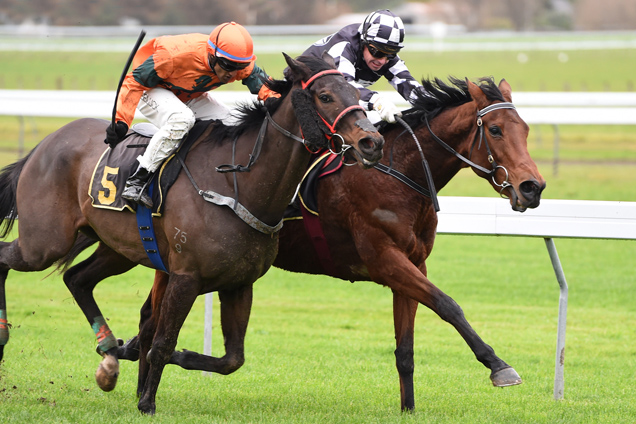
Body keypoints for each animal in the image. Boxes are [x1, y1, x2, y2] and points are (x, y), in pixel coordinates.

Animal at [0, 53, 382, 414]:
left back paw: (108, 354)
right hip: (45, 242)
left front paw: (175, 359)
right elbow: (162, 343)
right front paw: (147, 402)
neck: (237, 183)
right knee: (7, 257)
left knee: (77, 278)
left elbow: (232, 359)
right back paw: (6, 335)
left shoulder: (239, 283)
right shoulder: (186, 277)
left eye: (359, 95)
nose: (372, 142)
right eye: (325, 96)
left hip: (114, 247)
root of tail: (45, 144)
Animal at [140, 75, 548, 410]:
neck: (398, 174)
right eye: (495, 129)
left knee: (150, 317)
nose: (533, 187)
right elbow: (449, 305)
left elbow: (406, 349)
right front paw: (499, 366)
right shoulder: (385, 259)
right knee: (153, 319)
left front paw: (409, 409)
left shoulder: (413, 263)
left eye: (526, 129)